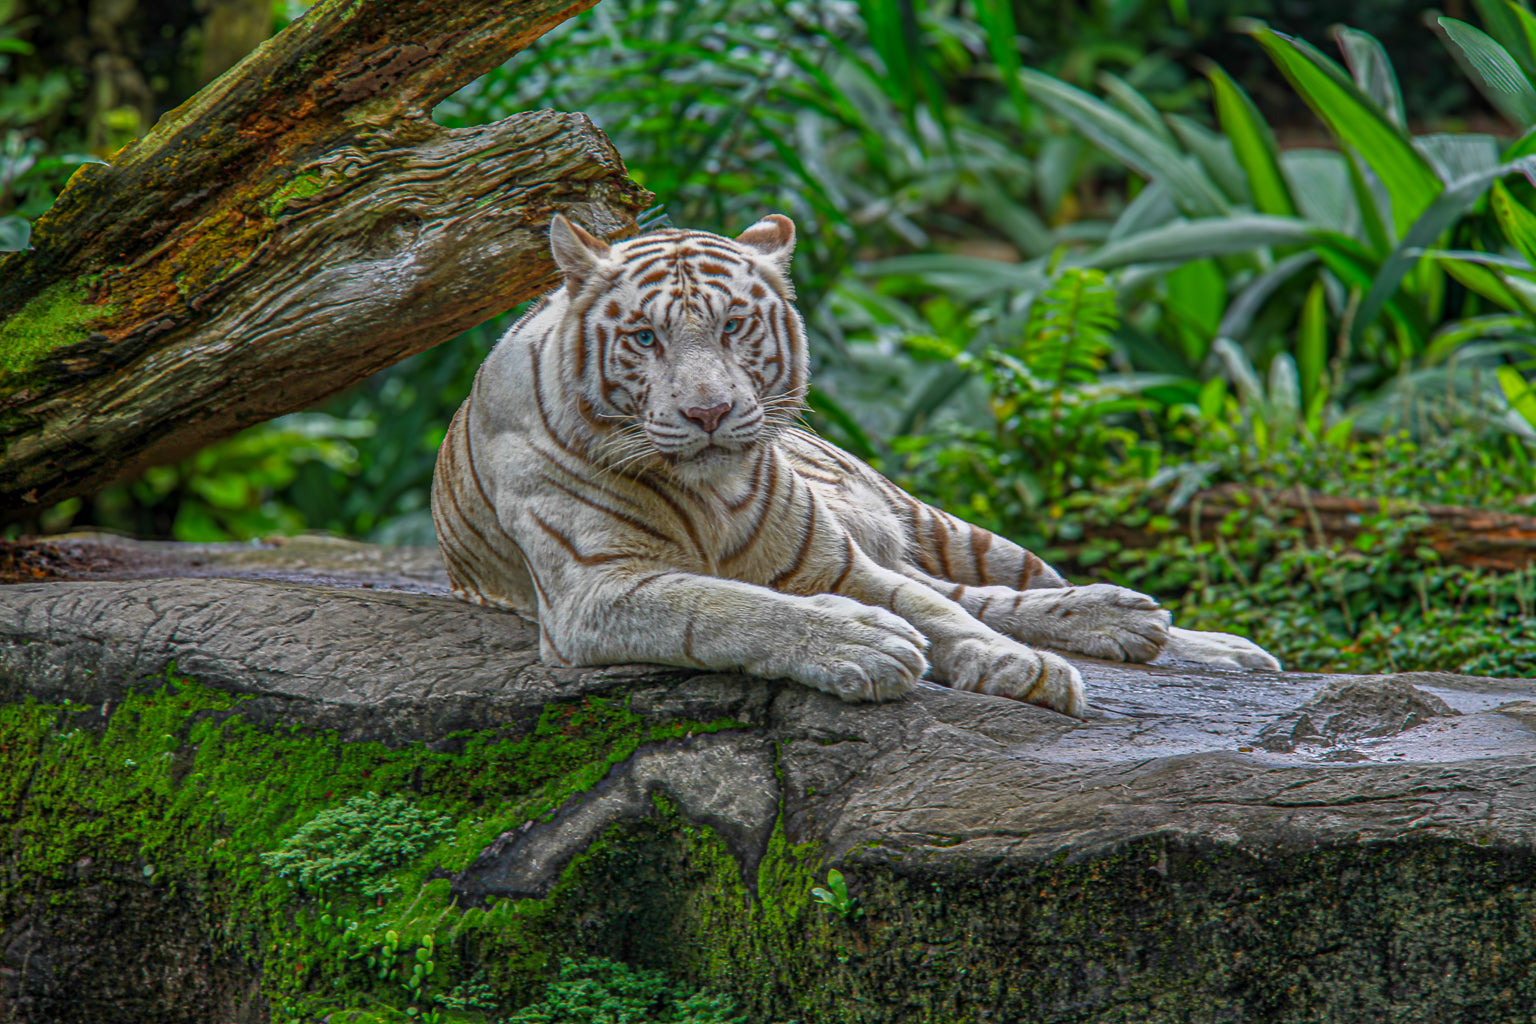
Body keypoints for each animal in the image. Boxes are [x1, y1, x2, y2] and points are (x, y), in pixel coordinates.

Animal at [429, 213, 1280, 718]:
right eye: (645, 338)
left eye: (733, 326)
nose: (708, 412)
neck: (709, 493)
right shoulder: (598, 590)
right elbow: (728, 606)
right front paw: (862, 645)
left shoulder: (833, 561)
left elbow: (939, 612)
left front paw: (1020, 668)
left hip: (945, 527)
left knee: (989, 587)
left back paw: (1188, 637)